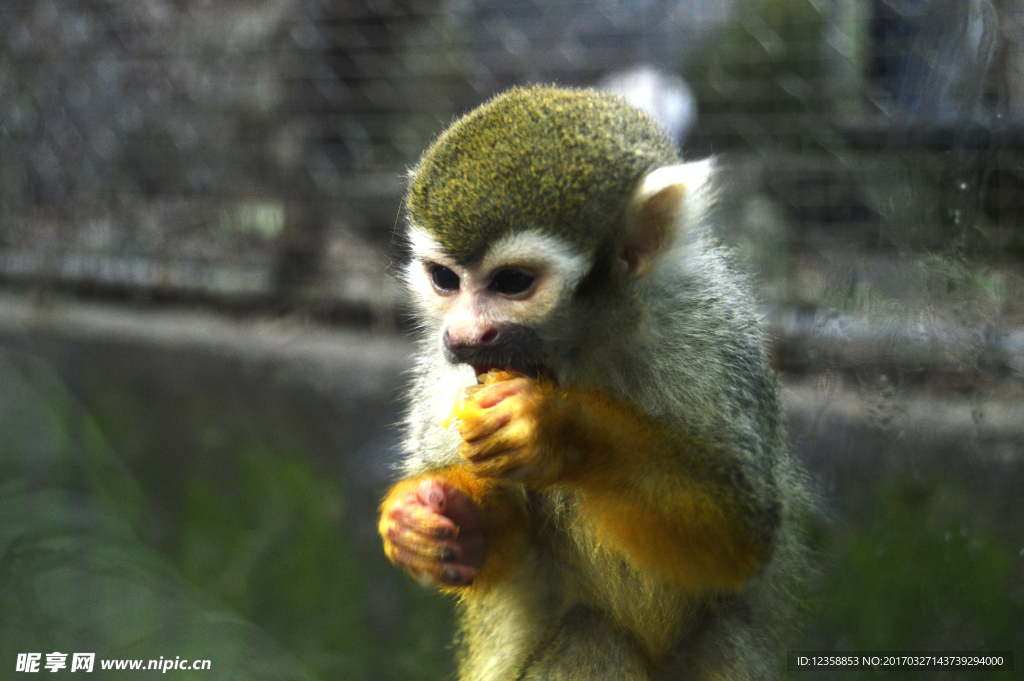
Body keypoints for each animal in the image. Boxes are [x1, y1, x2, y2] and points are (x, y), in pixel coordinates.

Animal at [376, 86, 806, 679]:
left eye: (512, 282)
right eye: (444, 279)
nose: (463, 337)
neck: (578, 351)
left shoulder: (712, 329)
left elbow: (743, 527)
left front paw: (554, 427)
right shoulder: (445, 377)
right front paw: (435, 523)